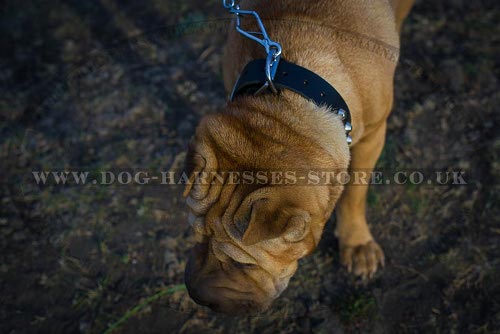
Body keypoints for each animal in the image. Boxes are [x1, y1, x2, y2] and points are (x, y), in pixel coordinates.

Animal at [184, 0, 414, 314]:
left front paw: (357, 244)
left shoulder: (373, 135)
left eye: (244, 264)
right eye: (194, 235)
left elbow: (354, 192)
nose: (197, 295)